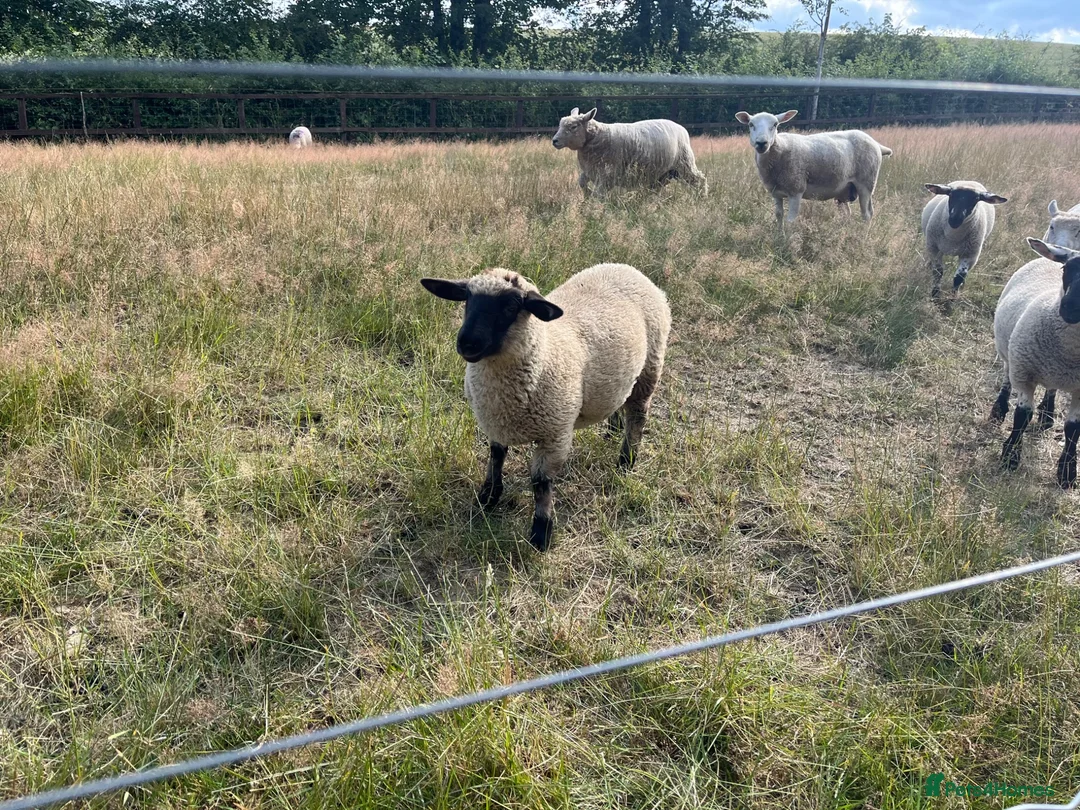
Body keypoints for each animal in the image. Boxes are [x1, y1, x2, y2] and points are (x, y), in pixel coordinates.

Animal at [421, 264, 671, 551]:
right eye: (467, 299)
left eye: (511, 306)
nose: (467, 343)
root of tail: (627, 268)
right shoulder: (495, 423)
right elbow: (495, 459)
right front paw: (487, 499)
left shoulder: (555, 434)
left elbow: (541, 483)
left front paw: (541, 533)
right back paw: (612, 430)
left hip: (650, 367)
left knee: (638, 415)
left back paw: (626, 462)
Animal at [552, 107, 707, 199]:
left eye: (573, 127)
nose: (554, 141)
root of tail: (681, 128)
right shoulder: (590, 170)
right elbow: (582, 183)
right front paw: (587, 195)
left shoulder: (608, 174)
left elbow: (599, 194)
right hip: (663, 173)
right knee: (656, 188)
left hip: (685, 164)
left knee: (699, 180)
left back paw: (701, 197)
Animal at [734, 110, 892, 228]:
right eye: (751, 124)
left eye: (775, 124)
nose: (761, 143)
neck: (779, 149)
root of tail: (877, 144)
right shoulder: (776, 192)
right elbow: (779, 216)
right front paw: (779, 236)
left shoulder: (796, 190)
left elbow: (790, 221)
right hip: (844, 190)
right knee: (847, 214)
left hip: (866, 182)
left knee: (867, 214)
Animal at [995, 237, 1080, 488]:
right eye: (1066, 269)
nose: (1069, 307)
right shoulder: (1024, 373)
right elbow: (1022, 417)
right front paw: (1010, 457)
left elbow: (1073, 429)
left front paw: (1067, 472)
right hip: (1009, 351)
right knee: (1006, 376)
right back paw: (998, 409)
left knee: (1051, 389)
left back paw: (1047, 414)